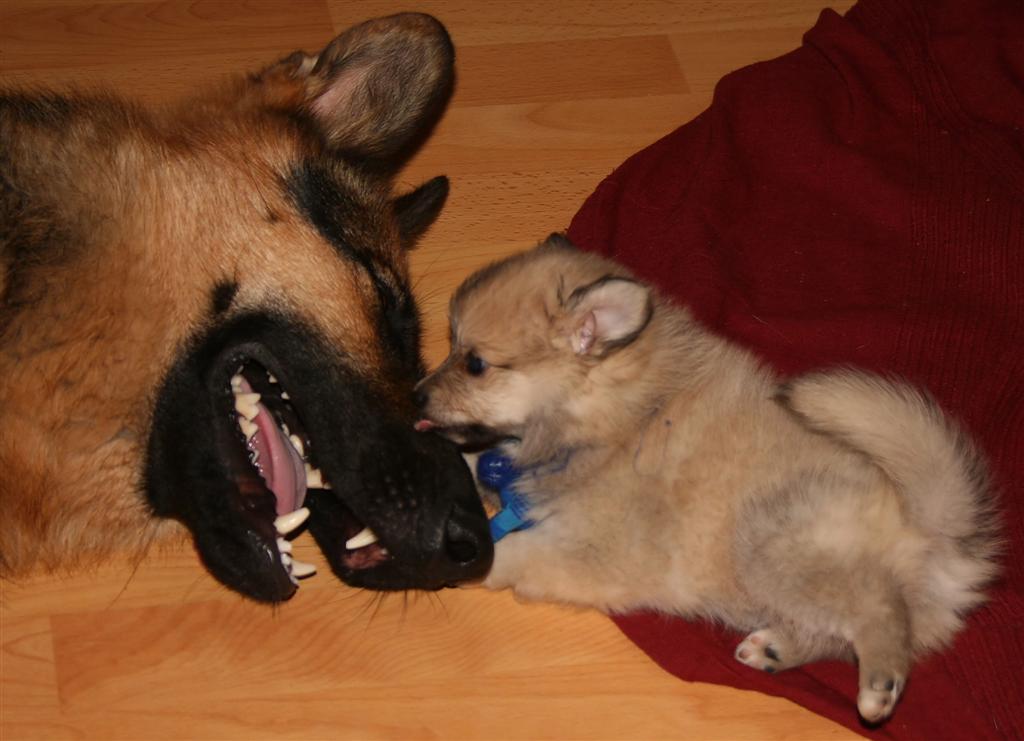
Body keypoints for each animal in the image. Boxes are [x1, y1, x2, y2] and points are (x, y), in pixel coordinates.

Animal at [414, 234, 1001, 723]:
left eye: (474, 363)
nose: (416, 396)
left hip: (774, 541)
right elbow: (473, 461)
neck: (621, 416)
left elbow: (512, 551)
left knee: (880, 610)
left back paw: (879, 685)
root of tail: (937, 531)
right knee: (839, 632)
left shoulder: (592, 551)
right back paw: (775, 649)